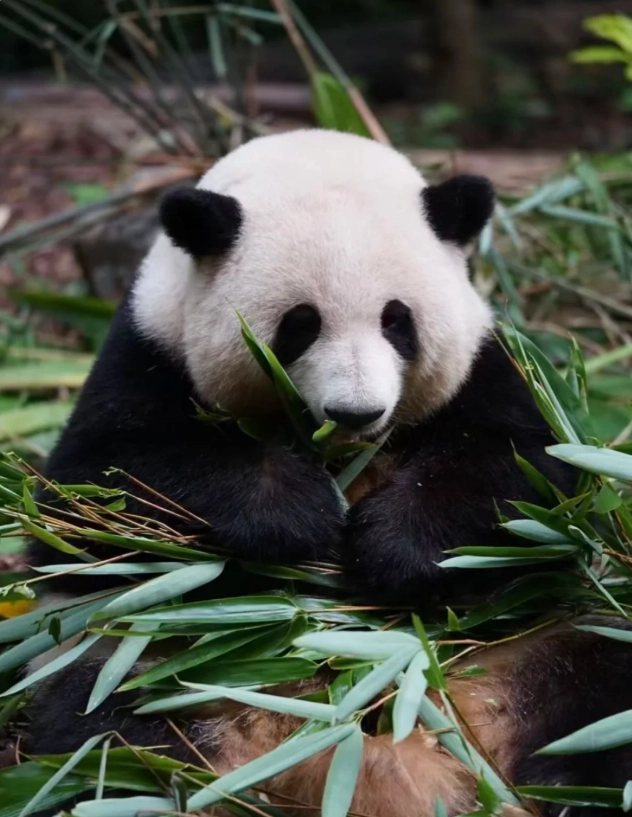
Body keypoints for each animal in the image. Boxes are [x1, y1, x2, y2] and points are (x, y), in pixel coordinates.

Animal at [22, 129, 632, 816]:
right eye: (300, 325)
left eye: (397, 320)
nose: (356, 411)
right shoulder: (147, 352)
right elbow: (94, 495)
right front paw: (298, 513)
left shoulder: (488, 365)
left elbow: (530, 477)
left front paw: (394, 546)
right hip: (142, 658)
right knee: (103, 732)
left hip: (538, 643)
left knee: (597, 695)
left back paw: (573, 786)